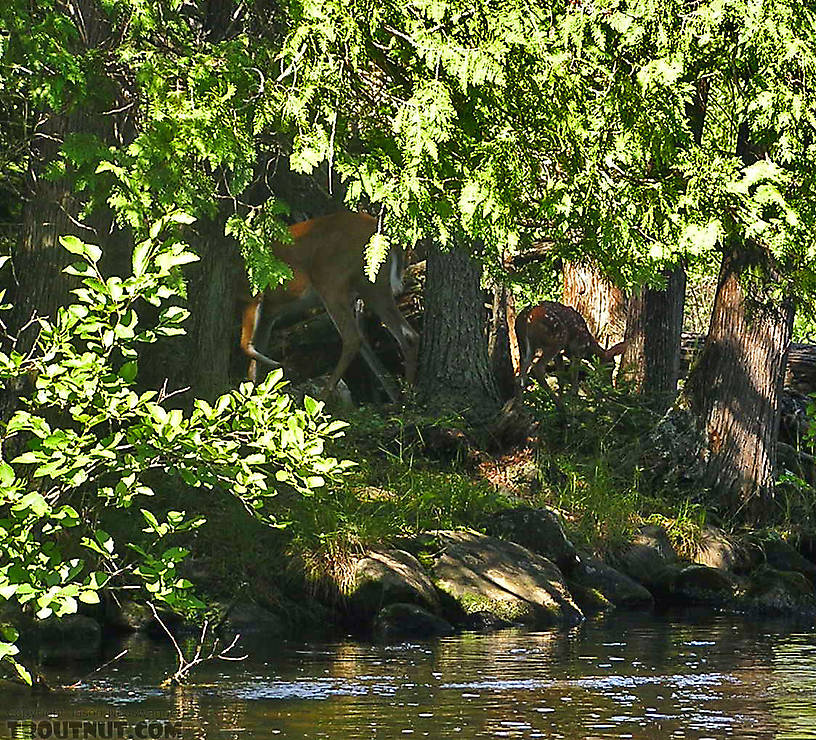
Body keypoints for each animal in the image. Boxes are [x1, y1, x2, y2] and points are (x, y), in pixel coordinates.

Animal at [237, 211, 418, 402]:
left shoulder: (251, 296)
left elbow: (245, 346)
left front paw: (277, 367)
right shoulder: (269, 313)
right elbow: (253, 364)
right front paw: (254, 397)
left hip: (331, 281)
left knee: (353, 338)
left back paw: (322, 397)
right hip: (372, 286)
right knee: (408, 335)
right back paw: (406, 397)